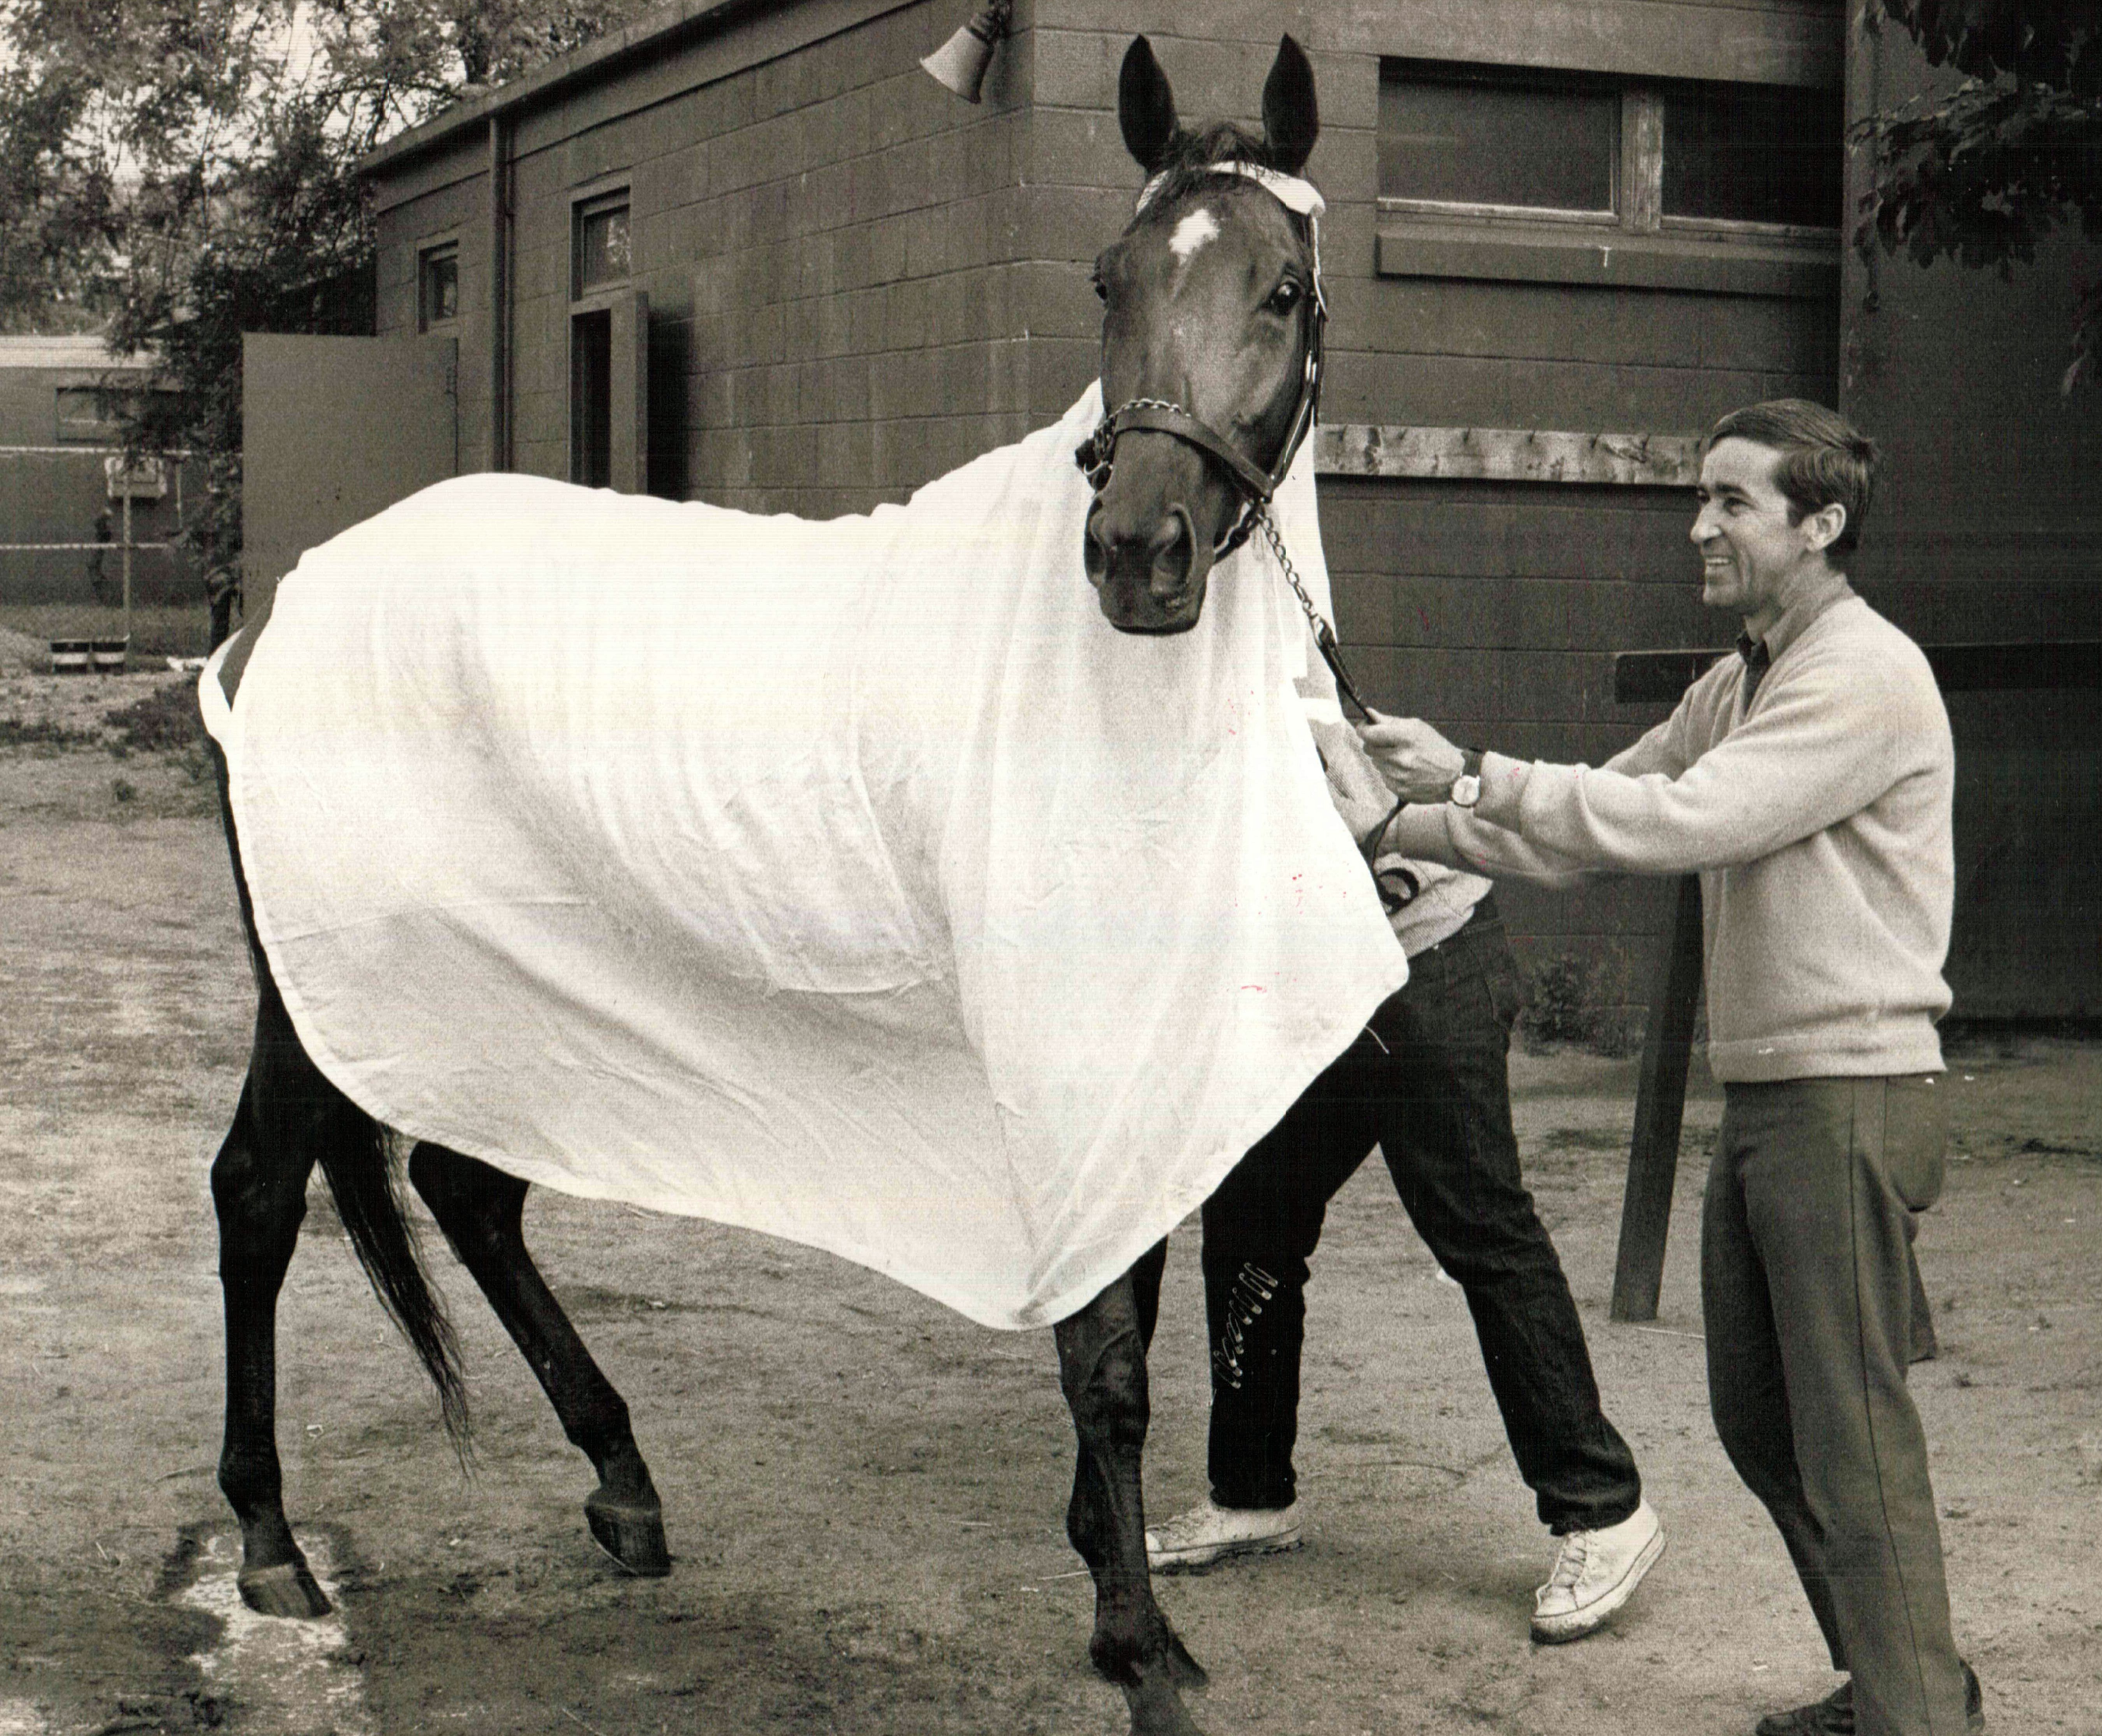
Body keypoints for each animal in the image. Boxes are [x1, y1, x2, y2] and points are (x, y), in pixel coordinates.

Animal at [205, 37, 1337, 1732]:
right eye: (1107, 277)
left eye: (1283, 288)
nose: (1140, 551)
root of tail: (286, 610)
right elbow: (1108, 1354)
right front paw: (1142, 1651)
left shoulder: (1129, 1037)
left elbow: (1126, 1300)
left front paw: (1119, 1590)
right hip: (320, 988)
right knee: (260, 1197)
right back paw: (275, 1546)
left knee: (468, 1189)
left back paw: (623, 1485)